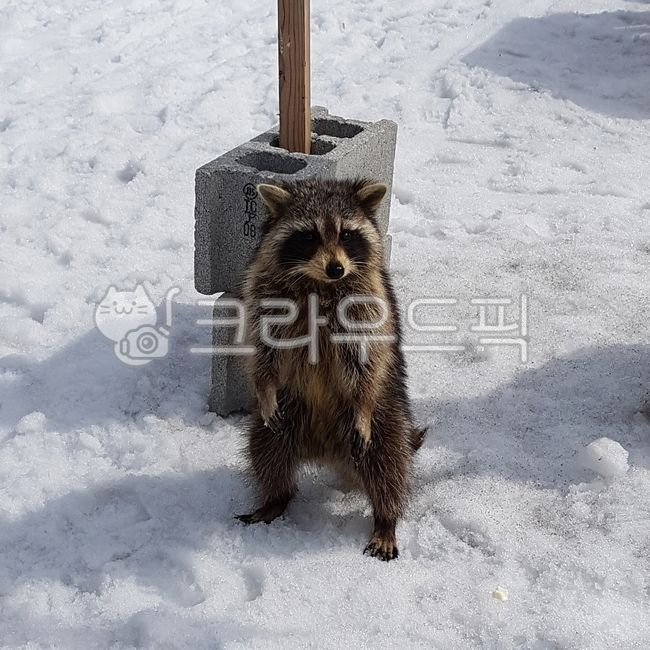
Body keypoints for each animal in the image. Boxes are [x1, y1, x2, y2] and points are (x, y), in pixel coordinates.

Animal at [237, 178, 425, 561]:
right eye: (308, 236)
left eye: (347, 234)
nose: (336, 268)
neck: (321, 284)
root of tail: (327, 452)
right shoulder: (262, 290)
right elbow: (262, 350)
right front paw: (263, 387)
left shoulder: (368, 302)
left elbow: (368, 359)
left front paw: (362, 404)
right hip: (286, 413)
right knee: (265, 451)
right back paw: (275, 498)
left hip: (387, 415)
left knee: (388, 464)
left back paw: (386, 519)